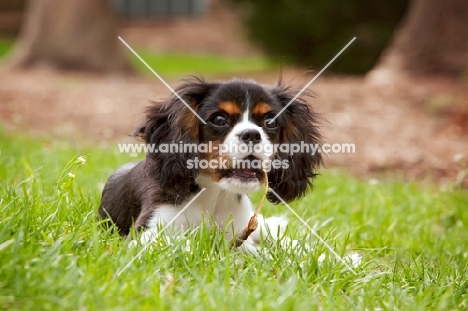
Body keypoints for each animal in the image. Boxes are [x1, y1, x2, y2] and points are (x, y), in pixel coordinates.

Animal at [99, 77, 322, 251]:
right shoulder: (147, 233)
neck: (216, 194)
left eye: (270, 122)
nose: (252, 134)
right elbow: (186, 243)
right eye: (219, 119)